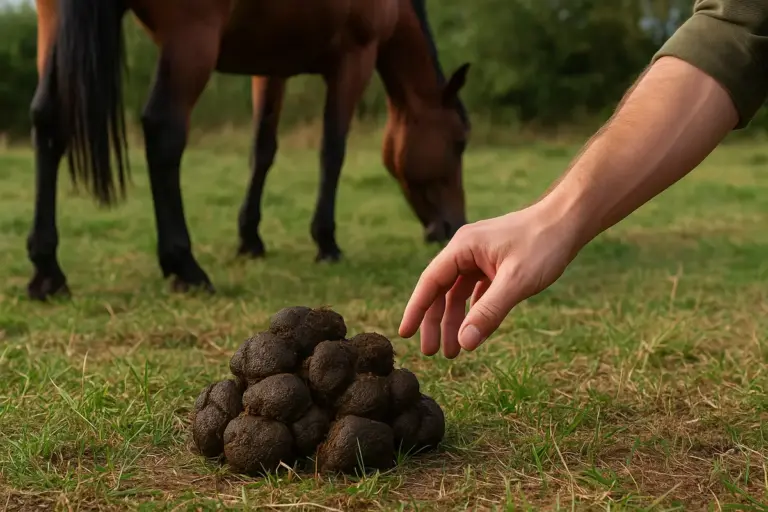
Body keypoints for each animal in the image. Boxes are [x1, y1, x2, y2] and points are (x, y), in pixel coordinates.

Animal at [27, 0, 471, 300]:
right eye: (460, 142)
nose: (453, 226)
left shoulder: (271, 67)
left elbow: (262, 151)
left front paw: (250, 239)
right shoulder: (354, 59)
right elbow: (332, 151)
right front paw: (326, 242)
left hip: (54, 26)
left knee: (49, 121)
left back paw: (47, 270)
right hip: (192, 38)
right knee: (163, 131)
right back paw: (185, 266)